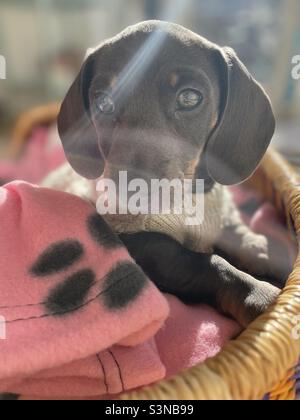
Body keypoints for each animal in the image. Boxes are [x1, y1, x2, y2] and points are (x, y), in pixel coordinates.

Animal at [44, 20, 284, 328]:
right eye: (103, 103)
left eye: (190, 97)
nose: (130, 190)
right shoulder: (142, 246)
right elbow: (201, 263)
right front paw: (256, 292)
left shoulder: (223, 215)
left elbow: (242, 236)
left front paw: (266, 253)